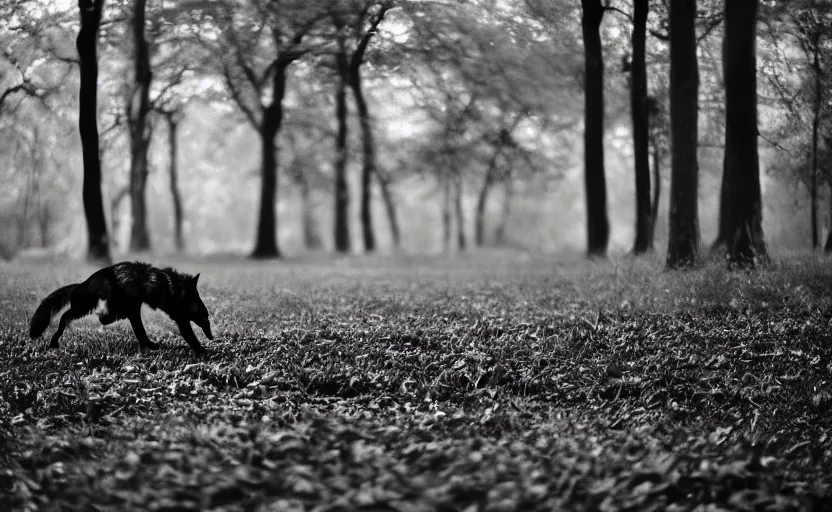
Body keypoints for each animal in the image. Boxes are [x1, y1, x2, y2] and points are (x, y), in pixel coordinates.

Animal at [29, 261, 213, 354]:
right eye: (204, 317)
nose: (211, 336)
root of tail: (80, 285)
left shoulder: (133, 309)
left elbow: (139, 331)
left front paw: (148, 344)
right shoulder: (135, 308)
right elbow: (141, 331)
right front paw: (201, 350)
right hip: (83, 307)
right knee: (65, 317)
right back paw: (54, 340)